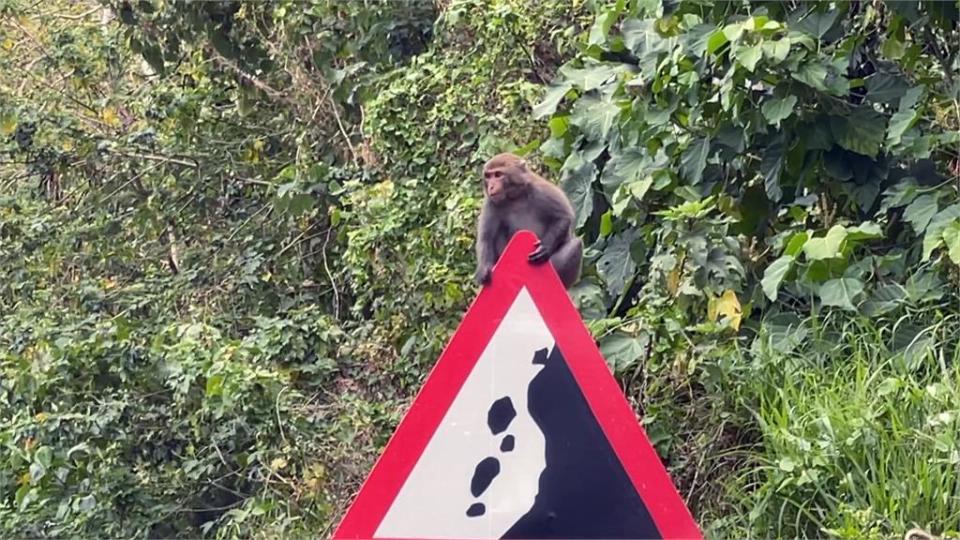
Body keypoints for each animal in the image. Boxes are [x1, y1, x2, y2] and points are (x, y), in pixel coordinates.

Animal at [474, 153, 580, 286]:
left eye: (498, 175)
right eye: (488, 176)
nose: (491, 187)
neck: (515, 196)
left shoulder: (541, 189)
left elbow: (563, 217)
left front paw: (544, 247)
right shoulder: (491, 203)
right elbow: (486, 238)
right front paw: (484, 269)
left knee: (575, 245)